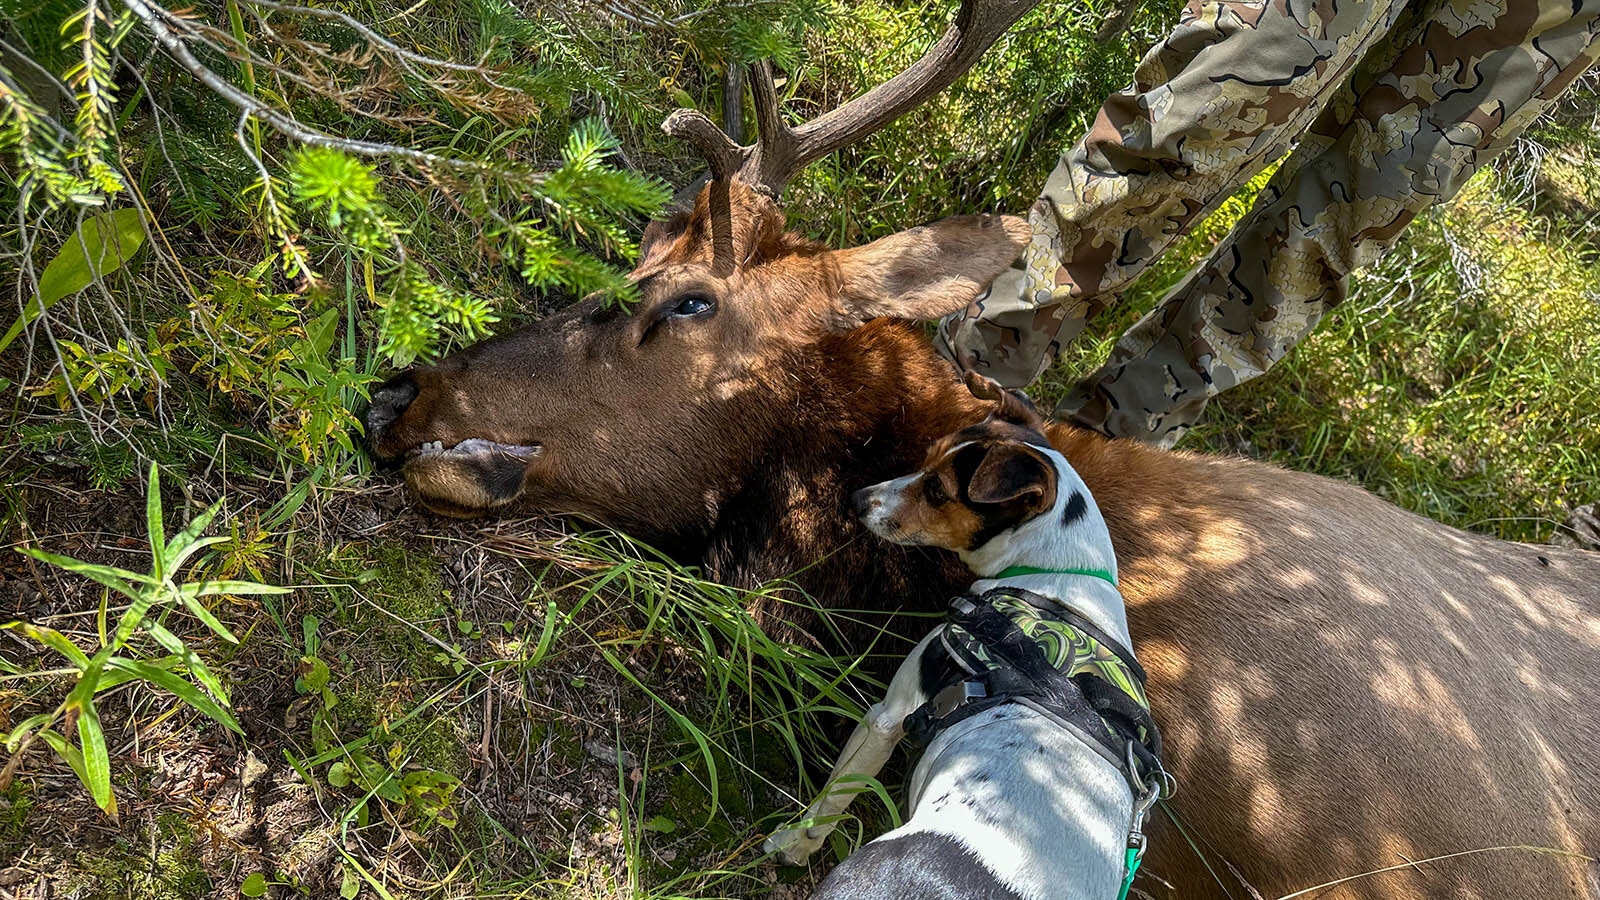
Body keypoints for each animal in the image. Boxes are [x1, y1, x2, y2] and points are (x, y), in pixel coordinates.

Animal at [761, 368, 1164, 890]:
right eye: (926, 458)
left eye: (937, 491)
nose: (856, 500)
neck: (1056, 568)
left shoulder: (887, 717)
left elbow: (833, 796)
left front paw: (794, 844)